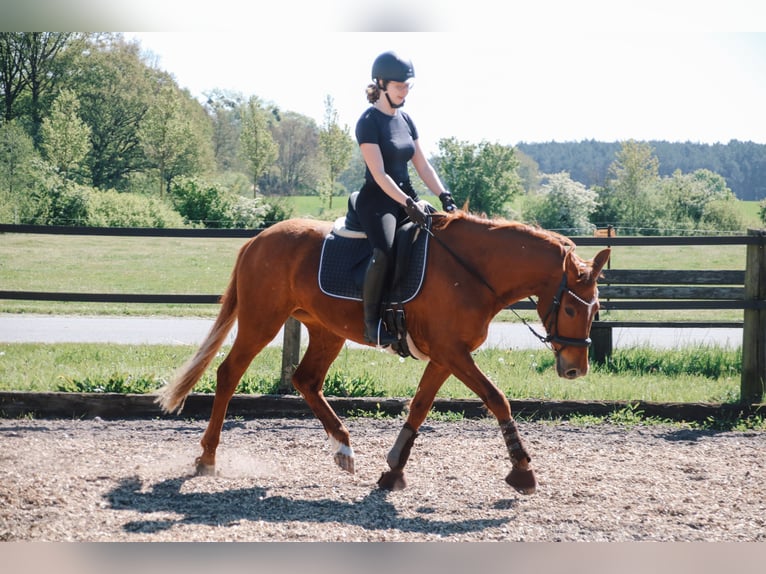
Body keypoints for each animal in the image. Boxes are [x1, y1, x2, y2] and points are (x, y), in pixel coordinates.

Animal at [156, 212, 612, 496]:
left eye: (597, 310)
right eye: (572, 309)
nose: (575, 369)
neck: (471, 271)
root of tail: (258, 239)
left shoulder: (445, 355)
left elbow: (420, 406)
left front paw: (393, 469)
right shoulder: (452, 352)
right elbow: (496, 398)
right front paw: (522, 469)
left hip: (325, 330)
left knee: (306, 380)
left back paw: (343, 448)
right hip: (261, 321)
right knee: (229, 374)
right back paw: (207, 456)